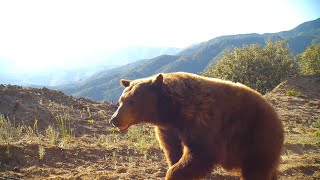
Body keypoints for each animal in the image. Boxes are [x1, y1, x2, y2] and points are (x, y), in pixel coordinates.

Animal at [109, 72, 282, 180]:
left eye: (132, 101)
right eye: (120, 101)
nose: (115, 119)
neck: (172, 113)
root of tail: (273, 111)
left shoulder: (202, 121)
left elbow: (200, 154)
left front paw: (173, 173)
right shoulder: (168, 130)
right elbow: (173, 151)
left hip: (257, 135)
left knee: (256, 169)